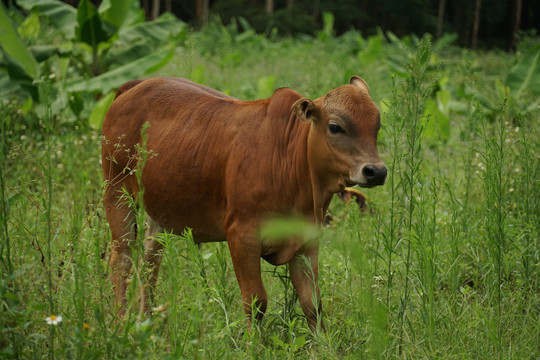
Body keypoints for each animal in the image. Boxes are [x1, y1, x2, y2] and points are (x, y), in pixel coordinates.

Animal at [101, 76, 386, 332]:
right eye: (335, 127)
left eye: (377, 125)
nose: (376, 171)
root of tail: (136, 84)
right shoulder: (241, 235)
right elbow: (256, 302)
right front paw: (253, 347)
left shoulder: (307, 239)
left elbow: (312, 303)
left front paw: (323, 348)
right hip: (117, 193)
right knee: (122, 259)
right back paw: (120, 324)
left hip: (158, 210)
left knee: (150, 262)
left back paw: (144, 322)